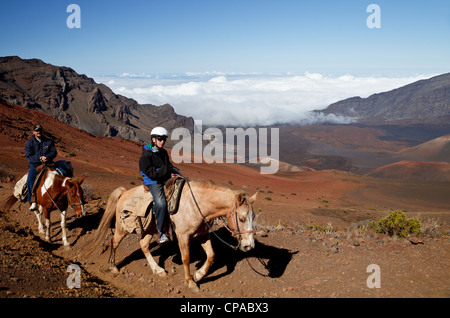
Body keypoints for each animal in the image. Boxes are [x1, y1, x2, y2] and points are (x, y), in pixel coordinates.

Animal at [88, 179, 256, 290]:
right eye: (241, 219)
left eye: (253, 216)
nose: (249, 246)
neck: (197, 205)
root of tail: (123, 192)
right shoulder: (183, 236)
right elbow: (186, 258)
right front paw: (190, 281)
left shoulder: (202, 235)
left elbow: (211, 255)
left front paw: (198, 275)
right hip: (122, 227)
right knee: (114, 242)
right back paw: (113, 266)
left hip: (149, 230)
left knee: (143, 245)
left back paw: (158, 270)